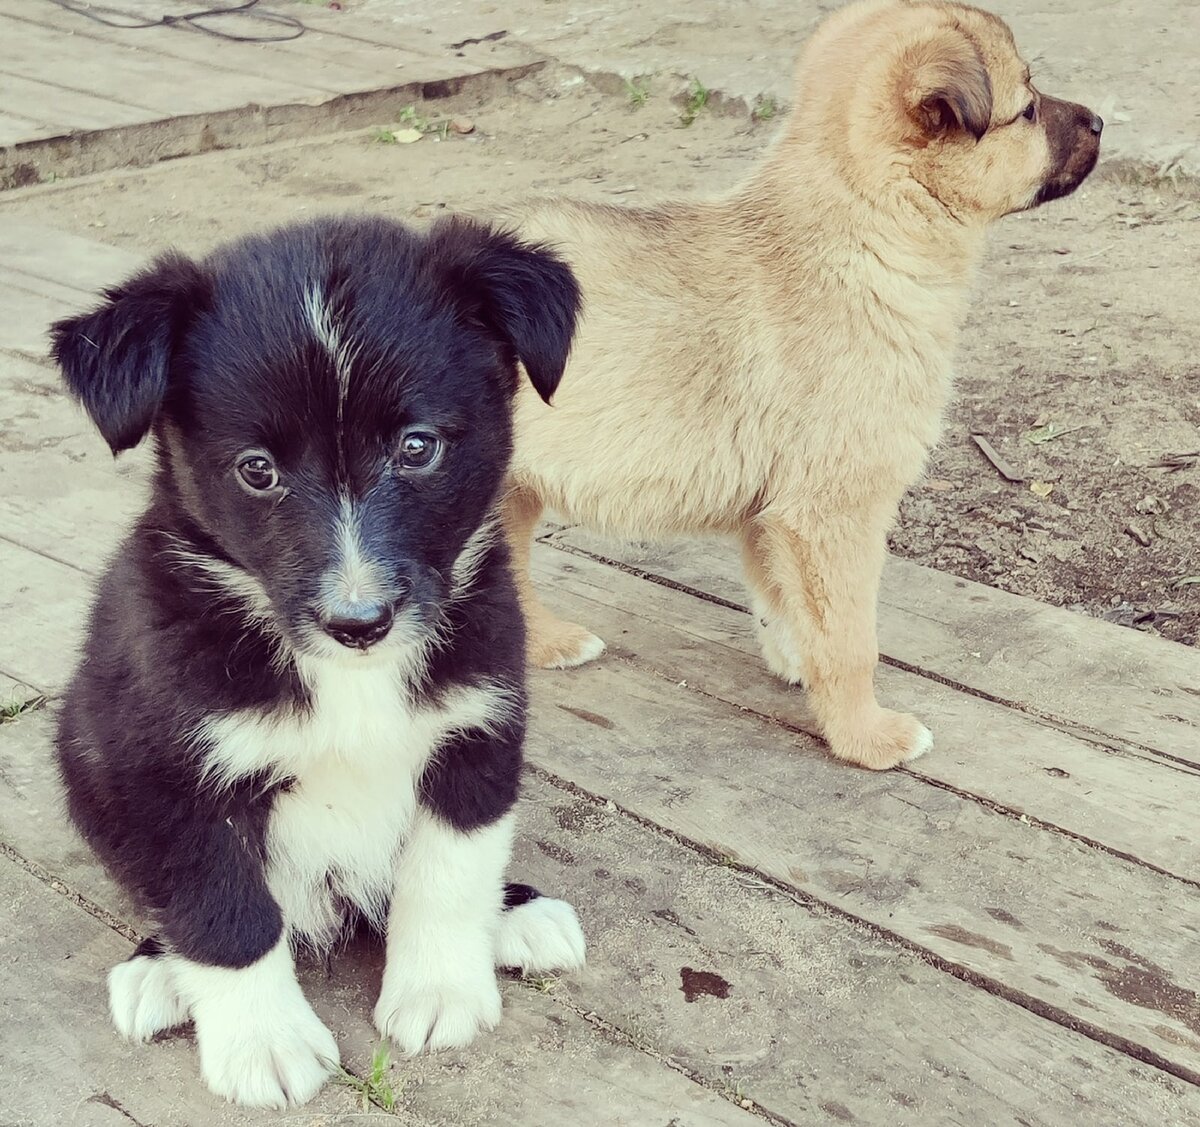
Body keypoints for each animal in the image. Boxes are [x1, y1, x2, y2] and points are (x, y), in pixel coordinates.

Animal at [51, 213, 585, 1108]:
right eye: (256, 470)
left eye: (417, 446)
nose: (359, 623)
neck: (352, 683)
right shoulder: (169, 772)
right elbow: (223, 910)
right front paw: (263, 1042)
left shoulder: (477, 728)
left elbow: (451, 868)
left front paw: (441, 988)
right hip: (86, 758)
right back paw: (159, 972)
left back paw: (516, 913)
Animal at [501, 0, 1099, 772]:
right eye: (1027, 109)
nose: (1100, 122)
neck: (863, 228)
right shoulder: (834, 511)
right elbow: (849, 639)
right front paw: (865, 735)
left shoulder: (775, 511)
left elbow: (781, 601)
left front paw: (795, 664)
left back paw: (546, 643)